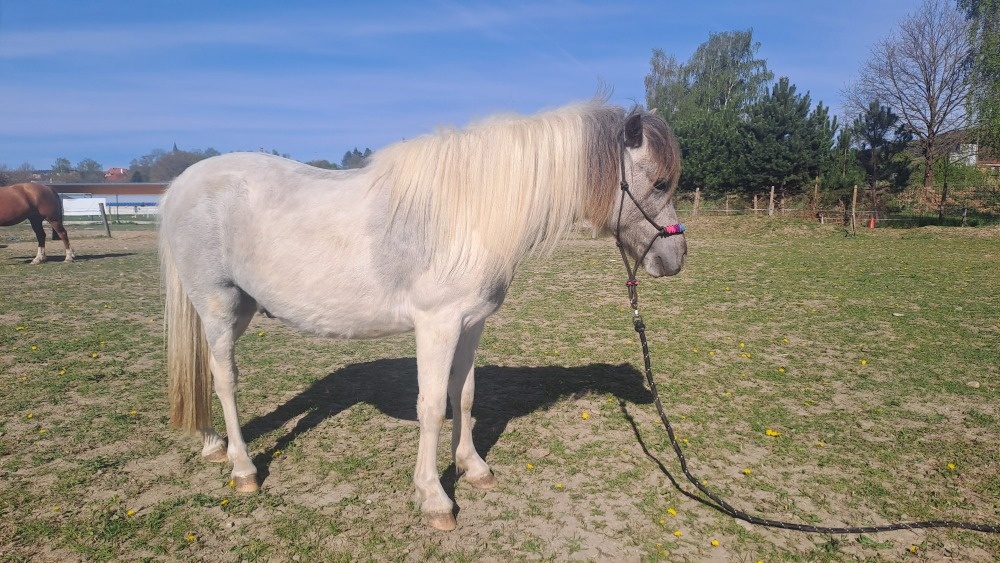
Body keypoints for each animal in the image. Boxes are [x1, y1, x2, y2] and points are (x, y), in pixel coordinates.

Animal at [159, 99, 687, 531]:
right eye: (659, 182)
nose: (676, 258)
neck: (470, 213)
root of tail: (181, 185)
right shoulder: (437, 325)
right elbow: (432, 406)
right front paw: (434, 498)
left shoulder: (471, 324)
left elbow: (465, 396)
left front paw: (474, 468)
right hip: (218, 304)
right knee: (224, 378)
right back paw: (243, 468)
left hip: (243, 306)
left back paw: (212, 445)